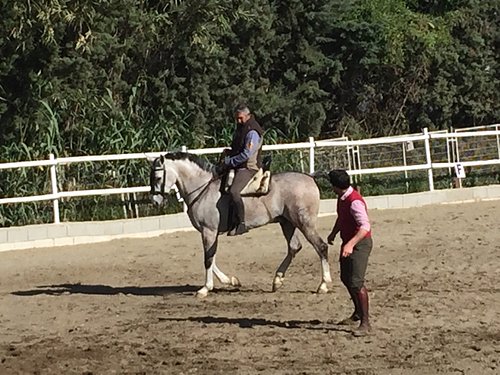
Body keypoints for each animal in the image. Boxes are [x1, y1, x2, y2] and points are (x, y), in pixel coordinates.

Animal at [150, 151, 334, 298]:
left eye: (158, 177)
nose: (155, 201)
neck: (203, 189)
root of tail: (310, 177)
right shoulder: (209, 232)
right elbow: (211, 257)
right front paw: (231, 280)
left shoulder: (209, 231)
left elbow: (208, 259)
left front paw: (205, 289)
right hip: (287, 223)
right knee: (294, 247)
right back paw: (277, 281)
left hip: (304, 223)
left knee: (321, 246)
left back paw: (323, 285)